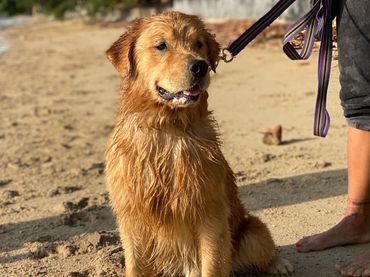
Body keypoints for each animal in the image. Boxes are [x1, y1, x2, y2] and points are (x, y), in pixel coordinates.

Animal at [105, 11, 294, 276]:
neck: (168, 128)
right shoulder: (131, 215)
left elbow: (213, 264)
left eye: (198, 44)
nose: (200, 66)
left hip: (254, 231)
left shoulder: (209, 211)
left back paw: (279, 264)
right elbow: (135, 266)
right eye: (161, 45)